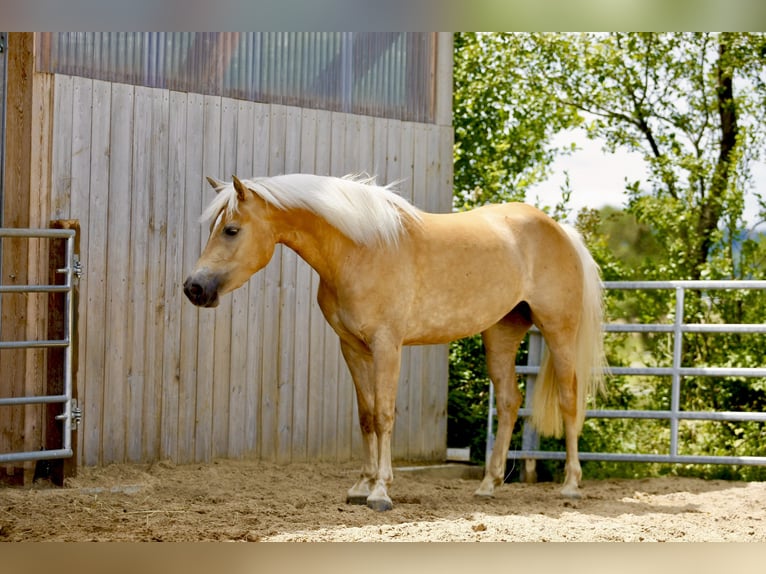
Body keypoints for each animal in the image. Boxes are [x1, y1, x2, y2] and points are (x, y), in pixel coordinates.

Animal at [184, 174, 608, 512]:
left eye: (231, 229)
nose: (194, 288)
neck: (360, 250)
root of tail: (561, 231)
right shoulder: (352, 347)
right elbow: (366, 415)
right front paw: (361, 485)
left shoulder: (387, 345)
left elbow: (385, 415)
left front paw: (381, 491)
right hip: (501, 332)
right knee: (508, 402)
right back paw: (488, 486)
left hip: (558, 331)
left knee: (570, 400)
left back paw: (571, 486)